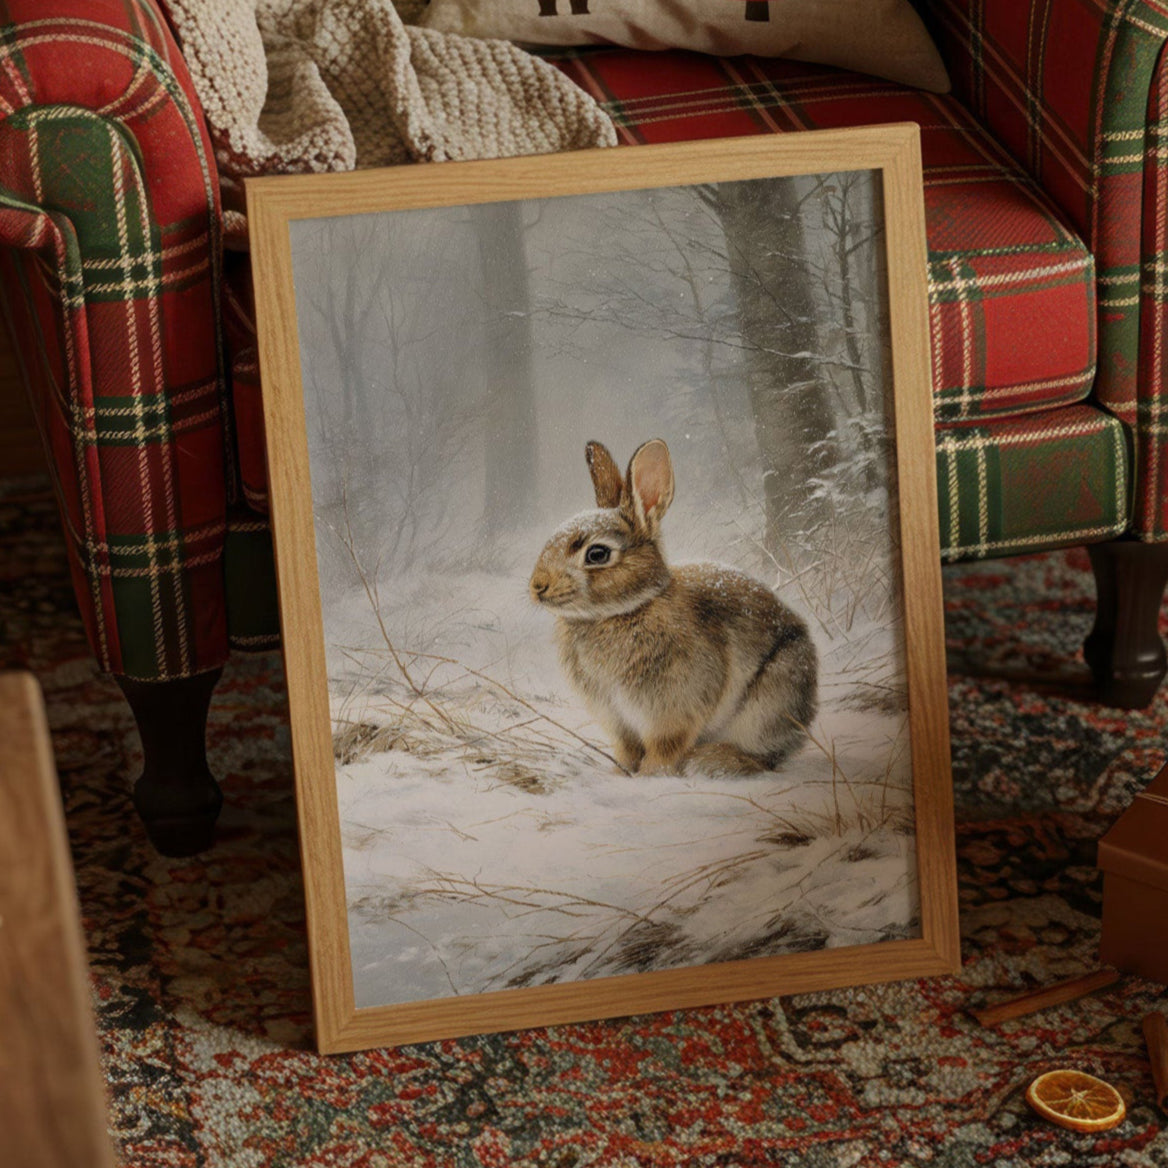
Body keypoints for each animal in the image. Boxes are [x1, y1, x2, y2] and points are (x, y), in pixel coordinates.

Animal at [529, 438, 817, 776]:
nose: (537, 586)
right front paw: (619, 772)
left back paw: (712, 760)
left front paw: (651, 775)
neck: (624, 610)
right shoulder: (617, 720)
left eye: (597, 554)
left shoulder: (674, 711)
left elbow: (664, 748)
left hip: (771, 700)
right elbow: (627, 749)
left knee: (765, 756)